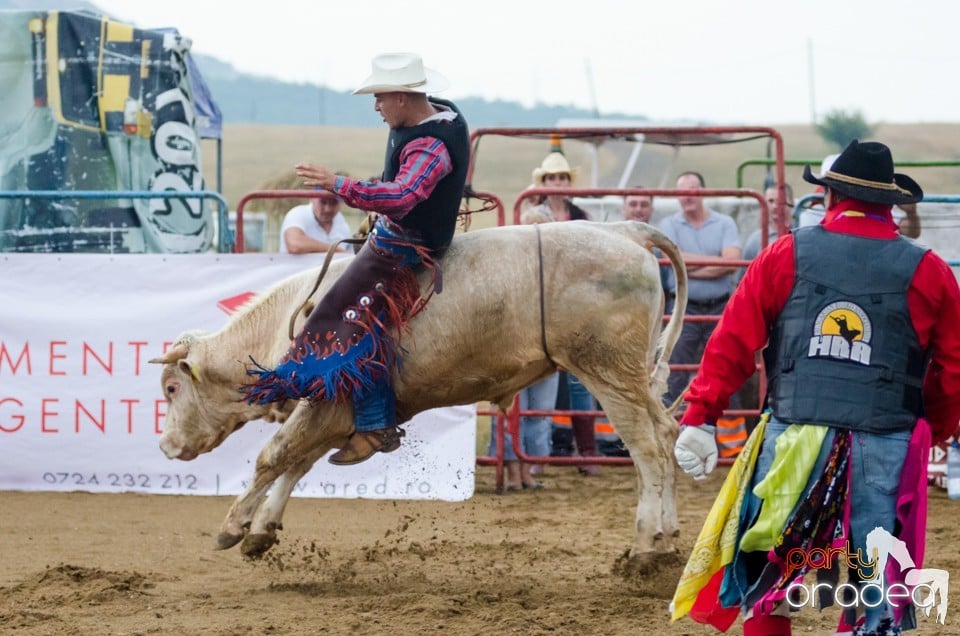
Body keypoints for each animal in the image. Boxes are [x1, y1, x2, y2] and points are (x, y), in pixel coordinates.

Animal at [150, 220, 688, 568]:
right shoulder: (334, 416)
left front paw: (233, 525)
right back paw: (666, 540)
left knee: (648, 450)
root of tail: (626, 231)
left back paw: (644, 548)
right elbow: (294, 465)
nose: (166, 446)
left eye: (173, 387)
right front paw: (262, 532)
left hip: (607, 372)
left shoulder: (322, 407)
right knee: (666, 436)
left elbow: (273, 458)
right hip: (633, 376)